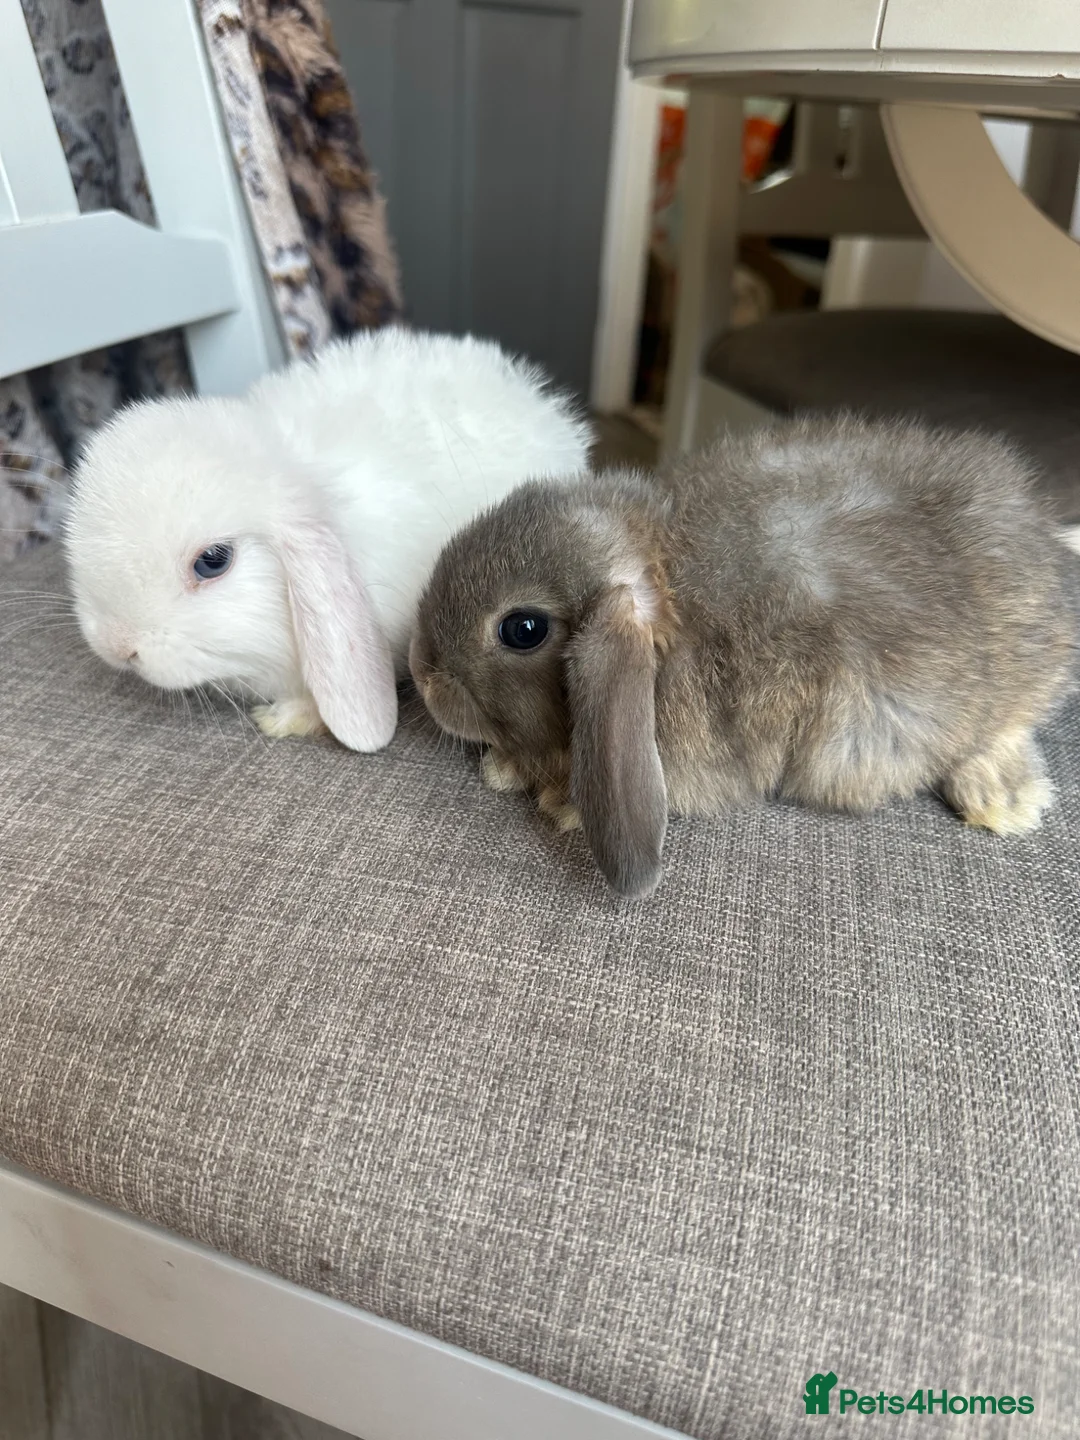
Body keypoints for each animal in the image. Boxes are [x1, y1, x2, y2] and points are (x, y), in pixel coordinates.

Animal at [410, 414, 1077, 899]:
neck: (667, 583)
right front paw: (506, 768)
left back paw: (1003, 800)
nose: (420, 670)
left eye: (522, 629)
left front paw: (557, 800)